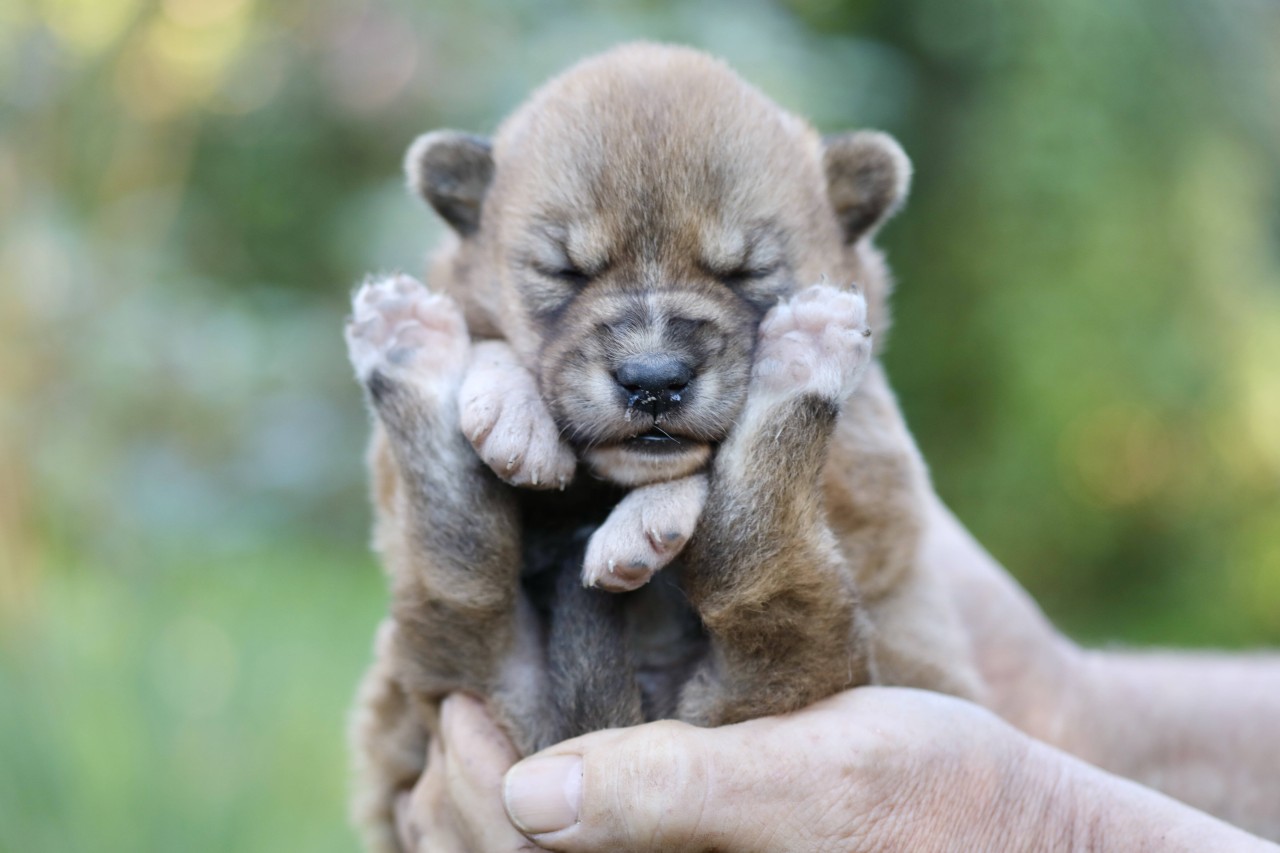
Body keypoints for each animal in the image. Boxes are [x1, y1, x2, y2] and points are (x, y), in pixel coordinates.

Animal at [345, 41, 972, 850]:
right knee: (467, 582)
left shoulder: (872, 473)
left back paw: (802, 358)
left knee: (779, 605)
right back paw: (410, 344)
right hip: (450, 686)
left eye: (745, 271)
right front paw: (514, 413)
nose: (653, 381)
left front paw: (642, 521)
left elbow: (706, 479)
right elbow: (492, 347)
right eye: (565, 271)